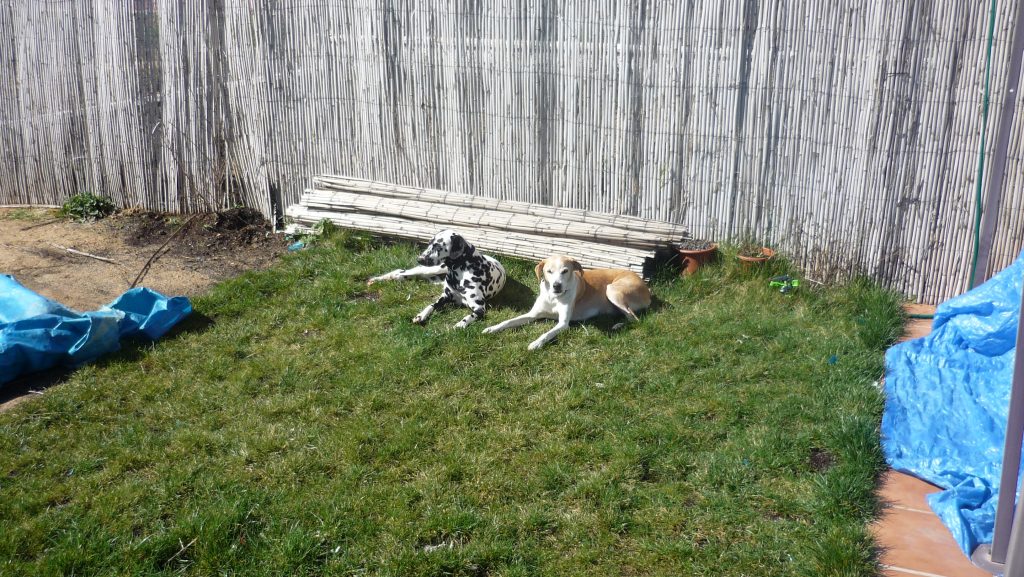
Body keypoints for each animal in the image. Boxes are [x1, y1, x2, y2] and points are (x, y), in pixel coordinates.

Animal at [367, 230, 506, 328]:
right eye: (429, 243)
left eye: (438, 247)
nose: (419, 259)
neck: (460, 271)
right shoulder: (445, 296)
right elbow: (431, 305)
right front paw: (421, 315)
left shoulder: (480, 308)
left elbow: (470, 315)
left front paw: (460, 324)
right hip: (431, 269)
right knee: (399, 272)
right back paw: (376, 279)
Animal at [482, 255, 651, 349]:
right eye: (549, 271)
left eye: (565, 271)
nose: (557, 285)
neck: (553, 297)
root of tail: (647, 289)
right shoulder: (532, 315)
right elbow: (508, 321)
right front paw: (491, 328)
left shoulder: (563, 324)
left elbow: (547, 333)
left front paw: (536, 344)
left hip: (612, 290)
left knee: (634, 318)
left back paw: (617, 325)